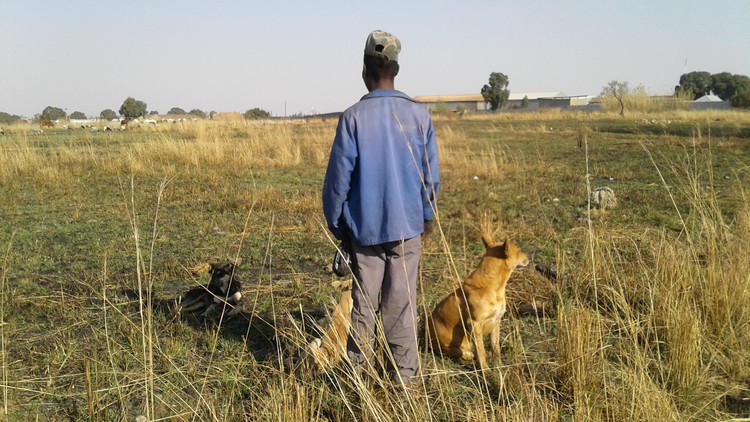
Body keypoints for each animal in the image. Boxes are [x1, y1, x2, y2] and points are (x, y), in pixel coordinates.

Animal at [428, 234, 536, 370]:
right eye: (518, 250)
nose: (529, 257)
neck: (492, 287)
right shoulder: (474, 324)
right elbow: (481, 351)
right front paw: (485, 371)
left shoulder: (496, 322)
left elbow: (496, 348)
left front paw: (499, 366)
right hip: (448, 345)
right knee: (461, 352)